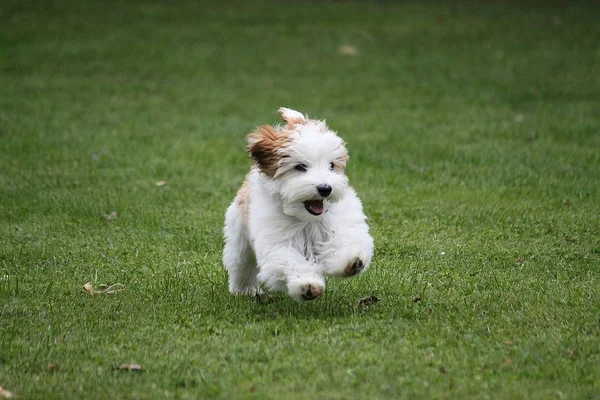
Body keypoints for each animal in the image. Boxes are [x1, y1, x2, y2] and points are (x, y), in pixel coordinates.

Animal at [223, 108, 372, 302]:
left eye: (331, 166)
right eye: (300, 167)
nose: (325, 188)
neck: (306, 218)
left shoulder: (339, 222)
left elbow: (345, 241)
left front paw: (351, 260)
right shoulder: (277, 241)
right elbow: (290, 260)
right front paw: (307, 285)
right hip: (239, 235)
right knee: (241, 264)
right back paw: (244, 289)